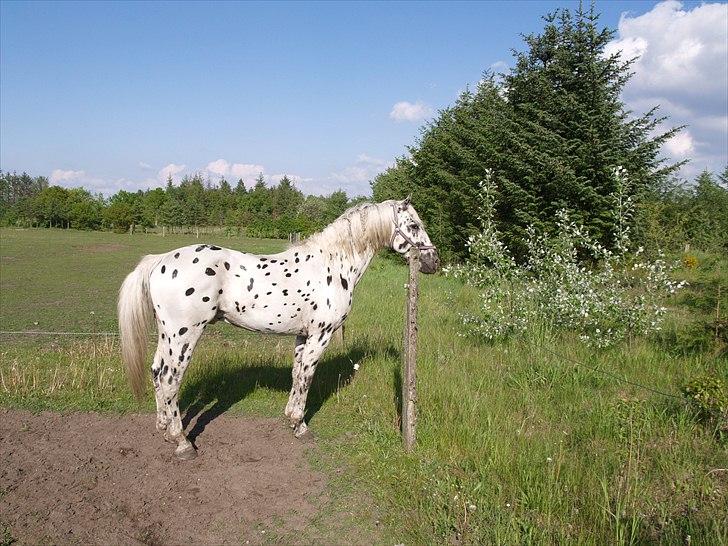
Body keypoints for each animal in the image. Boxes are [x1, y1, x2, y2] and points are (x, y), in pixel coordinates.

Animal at [118, 198, 438, 456]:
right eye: (413, 225)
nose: (433, 260)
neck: (332, 265)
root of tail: (160, 261)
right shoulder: (321, 335)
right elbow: (307, 377)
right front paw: (300, 425)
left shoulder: (302, 336)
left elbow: (297, 374)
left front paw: (291, 418)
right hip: (185, 335)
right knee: (170, 379)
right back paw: (182, 442)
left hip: (167, 335)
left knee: (157, 372)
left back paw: (163, 428)